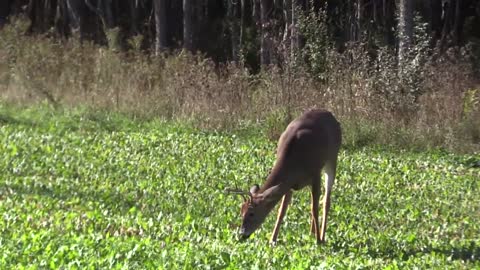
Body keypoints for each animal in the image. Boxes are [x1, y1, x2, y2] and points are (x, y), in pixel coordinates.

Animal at [225, 108, 342, 244]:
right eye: (241, 211)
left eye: (251, 213)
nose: (242, 234)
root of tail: (330, 115)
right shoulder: (288, 183)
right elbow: (281, 211)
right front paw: (272, 240)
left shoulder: (315, 173)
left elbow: (315, 208)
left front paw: (319, 240)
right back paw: (311, 232)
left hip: (332, 158)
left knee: (326, 201)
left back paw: (321, 236)